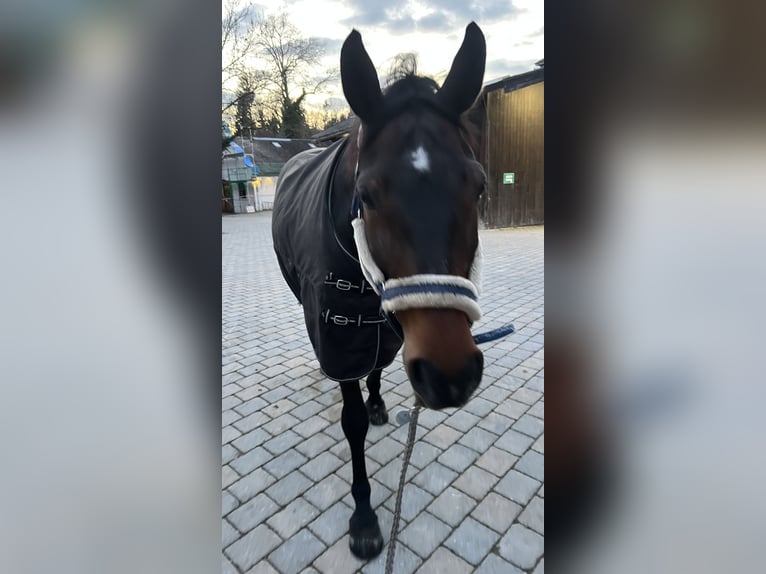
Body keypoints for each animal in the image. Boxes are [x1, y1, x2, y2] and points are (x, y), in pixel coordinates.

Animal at [272, 22, 487, 560]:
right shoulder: (341, 338)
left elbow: (379, 369)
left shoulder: (388, 332)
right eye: (366, 196)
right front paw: (365, 517)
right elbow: (351, 422)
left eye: (479, 186)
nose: (450, 373)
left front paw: (377, 403)